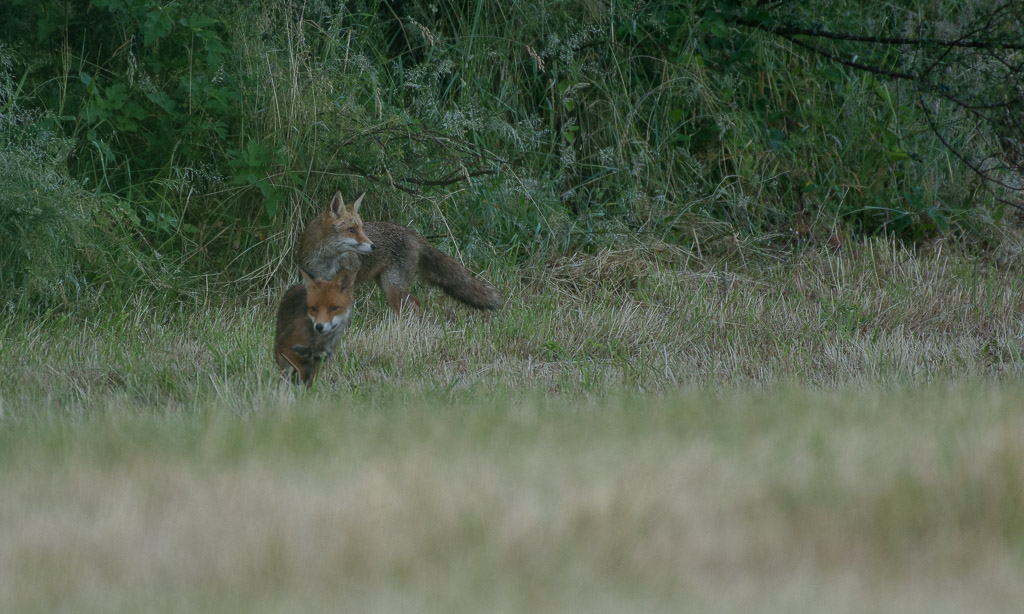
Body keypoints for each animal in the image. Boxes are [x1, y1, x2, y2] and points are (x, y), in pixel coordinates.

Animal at [296, 191, 501, 315]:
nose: (373, 246)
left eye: (362, 228)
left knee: (413, 305)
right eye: (352, 230)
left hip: (393, 287)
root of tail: (414, 235)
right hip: (386, 283)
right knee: (413, 304)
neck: (326, 260)